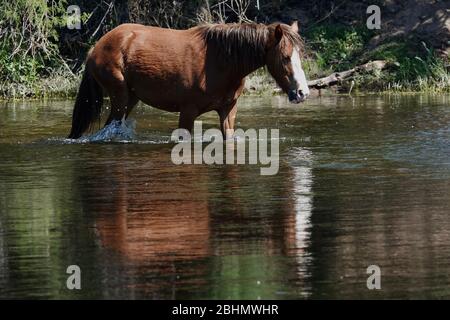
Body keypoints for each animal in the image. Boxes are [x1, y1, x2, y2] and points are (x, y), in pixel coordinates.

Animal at [67, 21, 310, 139]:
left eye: (301, 55)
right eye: (285, 57)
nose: (302, 93)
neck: (221, 61)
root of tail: (95, 48)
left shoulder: (228, 111)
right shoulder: (188, 111)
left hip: (130, 99)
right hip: (120, 98)